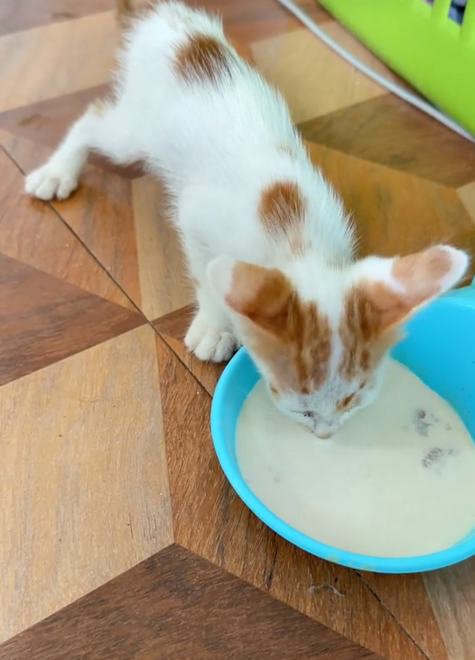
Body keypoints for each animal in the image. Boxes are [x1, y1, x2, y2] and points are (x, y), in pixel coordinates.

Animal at [25, 1, 468, 438]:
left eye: (352, 401)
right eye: (302, 408)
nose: (325, 434)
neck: (297, 238)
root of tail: (167, 15)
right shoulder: (196, 215)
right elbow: (204, 271)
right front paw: (215, 327)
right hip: (135, 131)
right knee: (93, 119)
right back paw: (56, 172)